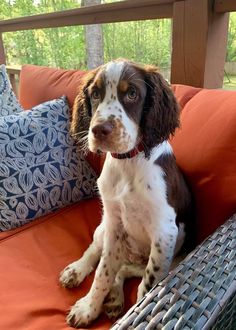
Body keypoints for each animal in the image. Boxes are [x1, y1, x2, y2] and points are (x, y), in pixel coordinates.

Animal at [59, 58, 192, 328]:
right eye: (95, 94)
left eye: (132, 94)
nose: (100, 130)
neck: (128, 162)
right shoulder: (114, 222)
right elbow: (103, 271)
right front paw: (88, 308)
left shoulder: (164, 232)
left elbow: (147, 286)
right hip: (105, 227)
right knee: (96, 250)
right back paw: (77, 271)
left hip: (175, 255)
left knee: (127, 270)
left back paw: (114, 298)